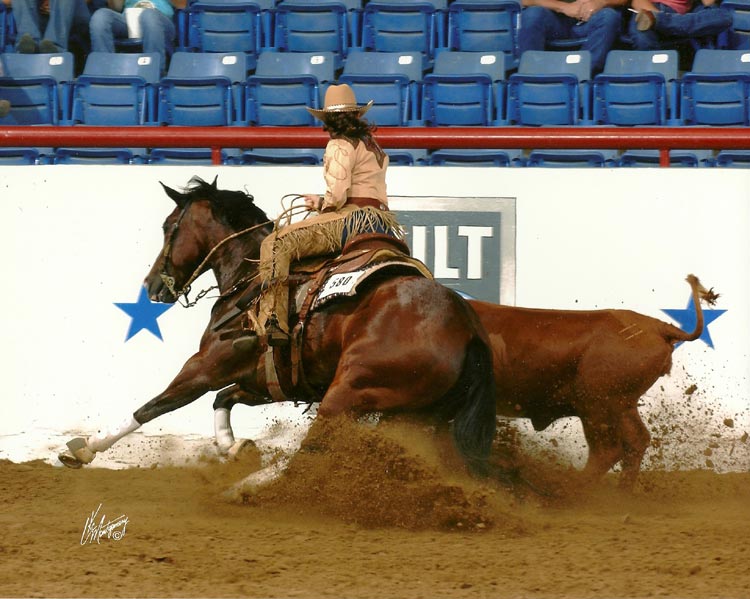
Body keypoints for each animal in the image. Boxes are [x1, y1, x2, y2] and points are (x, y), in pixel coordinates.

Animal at [58, 176, 501, 491]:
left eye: (170, 227)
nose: (152, 287)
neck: (251, 280)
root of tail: (467, 328)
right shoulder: (266, 379)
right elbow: (223, 400)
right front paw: (236, 448)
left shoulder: (206, 366)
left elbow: (154, 406)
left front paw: (85, 449)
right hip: (415, 414)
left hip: (348, 393)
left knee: (312, 450)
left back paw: (250, 488)